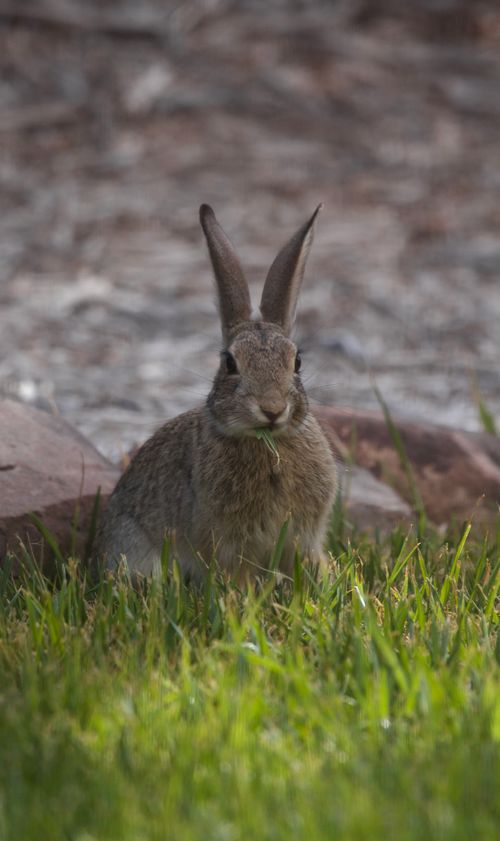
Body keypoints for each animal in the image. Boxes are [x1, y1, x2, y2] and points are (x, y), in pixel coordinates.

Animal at [96, 204, 337, 581]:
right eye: (229, 363)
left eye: (297, 361)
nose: (272, 408)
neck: (267, 444)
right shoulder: (226, 542)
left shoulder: (304, 538)